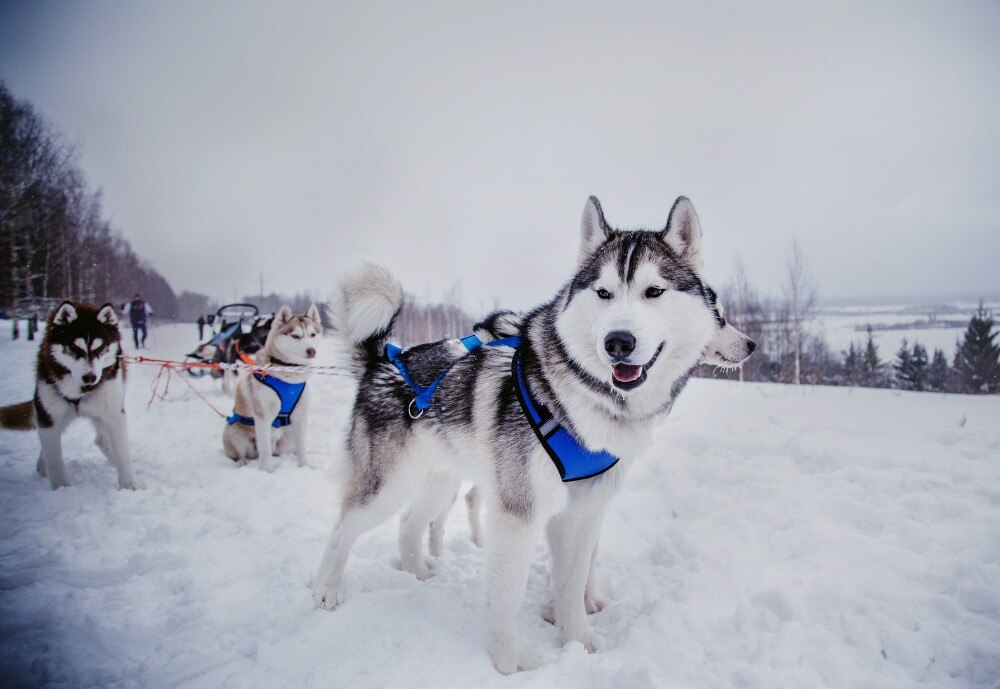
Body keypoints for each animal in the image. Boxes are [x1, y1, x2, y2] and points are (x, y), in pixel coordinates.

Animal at [0, 300, 141, 490]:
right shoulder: (49, 416)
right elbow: (54, 458)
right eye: (74, 347)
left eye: (100, 348)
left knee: (101, 439)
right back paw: (42, 465)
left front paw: (130, 485)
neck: (80, 390)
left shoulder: (113, 412)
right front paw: (61, 489)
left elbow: (122, 452)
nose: (90, 377)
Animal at [225, 304, 322, 470]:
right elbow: (265, 450)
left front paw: (305, 466)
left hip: (287, 435)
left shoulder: (300, 416)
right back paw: (243, 462)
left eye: (312, 334)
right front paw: (266, 472)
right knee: (244, 453)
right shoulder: (263, 416)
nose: (311, 350)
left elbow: (302, 446)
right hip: (234, 431)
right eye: (295, 336)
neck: (288, 376)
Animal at [312, 195, 752, 672]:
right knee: (343, 528)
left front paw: (578, 641)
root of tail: (385, 359)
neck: (580, 398)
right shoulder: (518, 511)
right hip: (389, 485)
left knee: (409, 524)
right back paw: (326, 589)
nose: (618, 341)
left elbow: (572, 581)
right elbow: (507, 594)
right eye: (604, 293)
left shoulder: (583, 510)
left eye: (654, 292)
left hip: (439, 482)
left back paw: (417, 573)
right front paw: (510, 660)